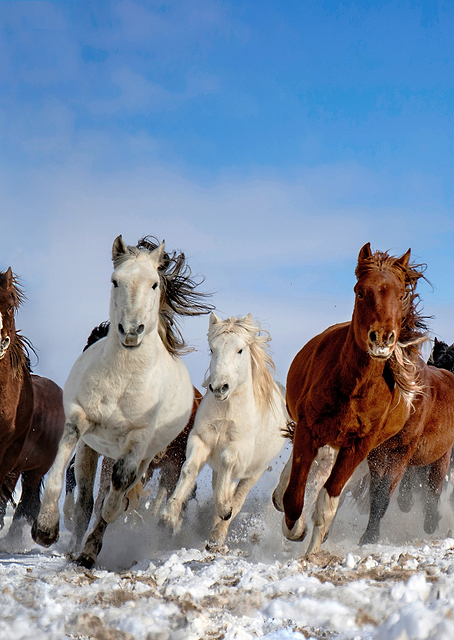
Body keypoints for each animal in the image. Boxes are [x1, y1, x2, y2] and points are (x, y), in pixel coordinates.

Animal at [32, 235, 213, 568]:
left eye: (154, 284)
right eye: (115, 280)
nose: (131, 331)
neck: (123, 379)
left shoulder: (138, 444)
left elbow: (118, 490)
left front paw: (107, 524)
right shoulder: (80, 423)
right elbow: (63, 467)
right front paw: (46, 528)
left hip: (147, 456)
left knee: (114, 492)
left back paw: (90, 548)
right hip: (94, 449)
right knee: (85, 499)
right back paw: (76, 547)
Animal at [161, 313, 287, 550]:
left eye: (240, 350)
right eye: (212, 349)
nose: (220, 387)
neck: (226, 413)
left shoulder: (239, 448)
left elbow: (227, 460)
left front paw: (224, 508)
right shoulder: (200, 440)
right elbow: (189, 469)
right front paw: (169, 516)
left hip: (254, 473)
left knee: (238, 499)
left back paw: (218, 534)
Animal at [281, 243, 454, 553]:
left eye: (401, 295)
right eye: (360, 291)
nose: (382, 338)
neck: (353, 390)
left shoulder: (364, 447)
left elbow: (333, 499)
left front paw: (316, 548)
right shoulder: (309, 429)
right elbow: (296, 492)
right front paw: (296, 529)